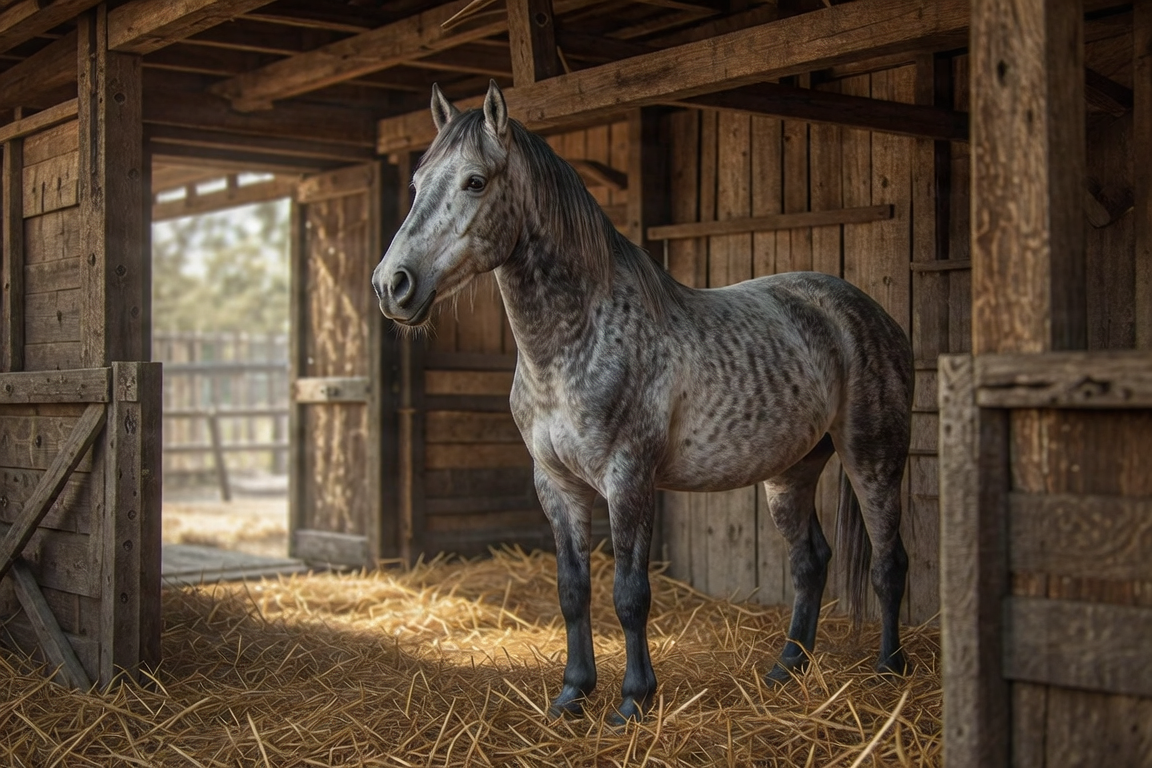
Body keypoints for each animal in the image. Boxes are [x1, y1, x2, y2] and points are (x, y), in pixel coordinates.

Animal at [372, 81, 913, 725]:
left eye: (475, 181)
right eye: (415, 183)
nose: (392, 285)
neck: (576, 339)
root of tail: (866, 311)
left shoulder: (628, 478)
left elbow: (629, 594)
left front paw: (633, 699)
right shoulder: (556, 484)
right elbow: (572, 591)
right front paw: (572, 694)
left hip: (873, 457)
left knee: (888, 561)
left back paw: (889, 671)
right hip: (792, 470)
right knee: (810, 562)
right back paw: (786, 670)